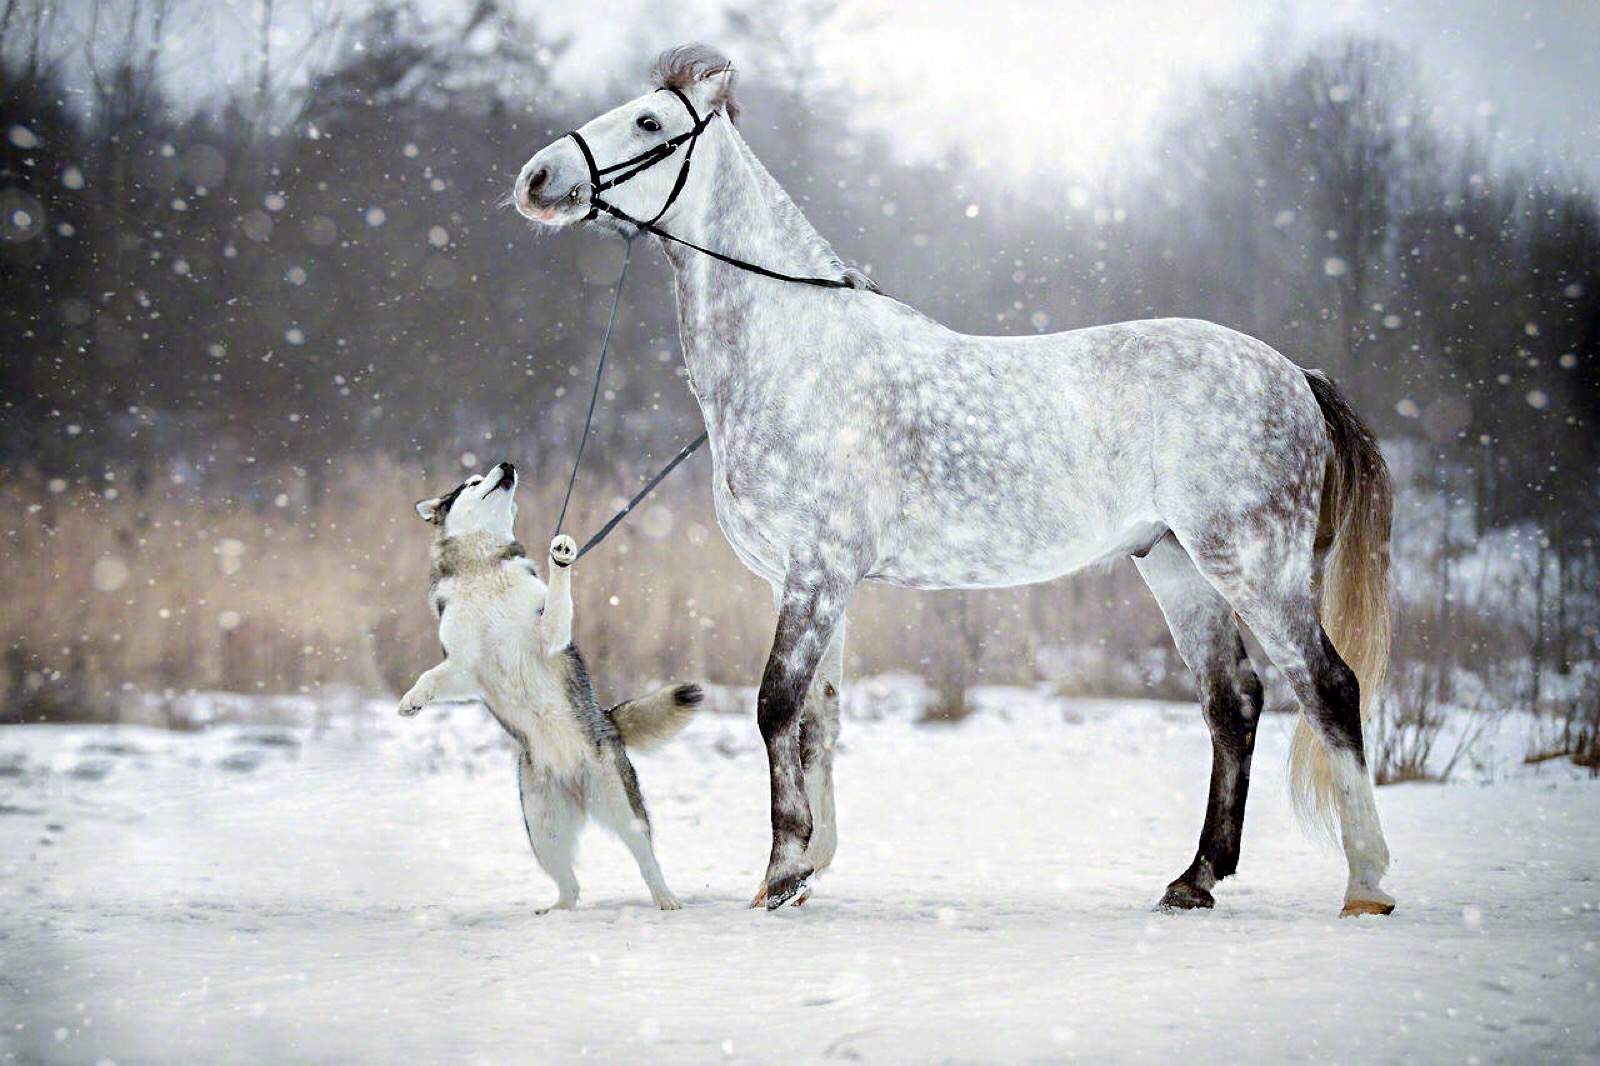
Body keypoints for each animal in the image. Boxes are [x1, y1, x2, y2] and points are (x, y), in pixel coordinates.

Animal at [396, 460, 697, 909]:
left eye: (485, 473)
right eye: (472, 481)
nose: (507, 464)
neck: (483, 571)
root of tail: (605, 719)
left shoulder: (548, 637)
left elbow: (556, 600)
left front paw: (561, 557)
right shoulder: (466, 669)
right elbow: (430, 675)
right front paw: (413, 700)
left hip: (621, 809)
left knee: (647, 862)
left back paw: (666, 899)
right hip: (543, 832)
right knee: (570, 884)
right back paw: (557, 911)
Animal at [515, 45, 1401, 915]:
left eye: (649, 121)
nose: (536, 177)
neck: (795, 351)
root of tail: (1295, 374)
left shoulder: (817, 573)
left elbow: (775, 707)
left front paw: (783, 869)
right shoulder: (804, 583)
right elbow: (816, 721)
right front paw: (806, 868)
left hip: (1254, 564)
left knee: (1328, 688)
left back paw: (1364, 882)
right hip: (1177, 564)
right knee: (1234, 701)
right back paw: (1196, 879)